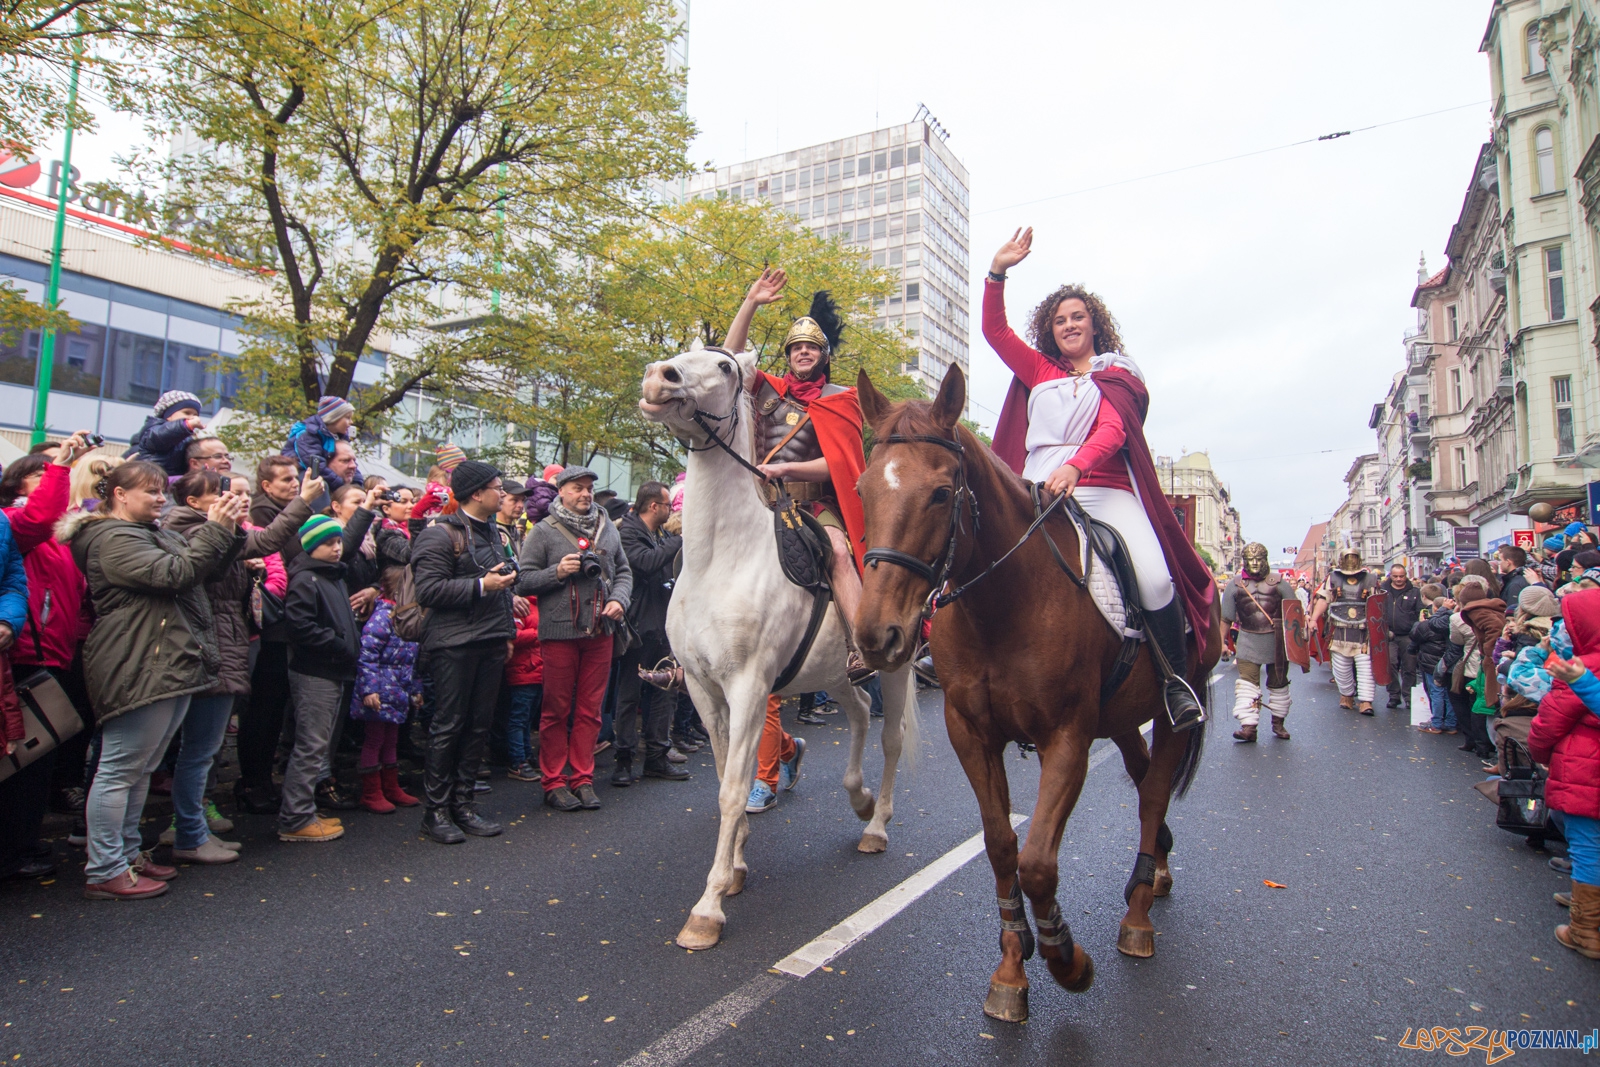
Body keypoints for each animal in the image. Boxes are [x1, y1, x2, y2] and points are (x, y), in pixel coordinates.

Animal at [633, 342, 915, 953]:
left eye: (723, 367)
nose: (659, 377)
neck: (719, 559)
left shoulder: (747, 687)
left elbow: (732, 790)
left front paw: (709, 907)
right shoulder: (703, 689)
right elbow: (725, 779)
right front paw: (737, 868)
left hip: (897, 664)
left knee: (889, 737)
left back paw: (877, 823)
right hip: (832, 674)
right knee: (860, 712)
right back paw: (857, 798)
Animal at [857, 364, 1216, 1023]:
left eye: (941, 493)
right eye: (864, 488)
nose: (877, 636)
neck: (1003, 603)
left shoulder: (1067, 739)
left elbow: (1039, 863)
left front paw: (1065, 958)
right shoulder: (972, 734)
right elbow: (1002, 848)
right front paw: (1011, 966)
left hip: (1173, 711)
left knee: (1153, 794)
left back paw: (1137, 916)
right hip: (1123, 718)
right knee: (1142, 777)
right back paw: (1156, 871)